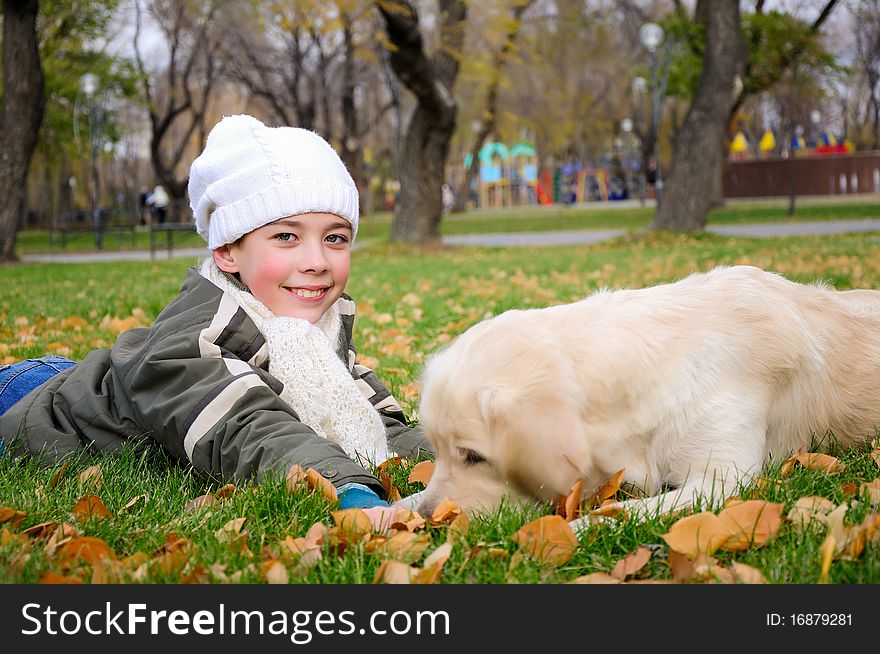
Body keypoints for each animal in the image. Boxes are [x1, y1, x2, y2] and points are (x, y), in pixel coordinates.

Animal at [410, 266, 880, 528]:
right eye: (439, 451)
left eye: (474, 456)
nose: (429, 518)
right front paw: (399, 510)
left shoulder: (720, 481)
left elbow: (617, 513)